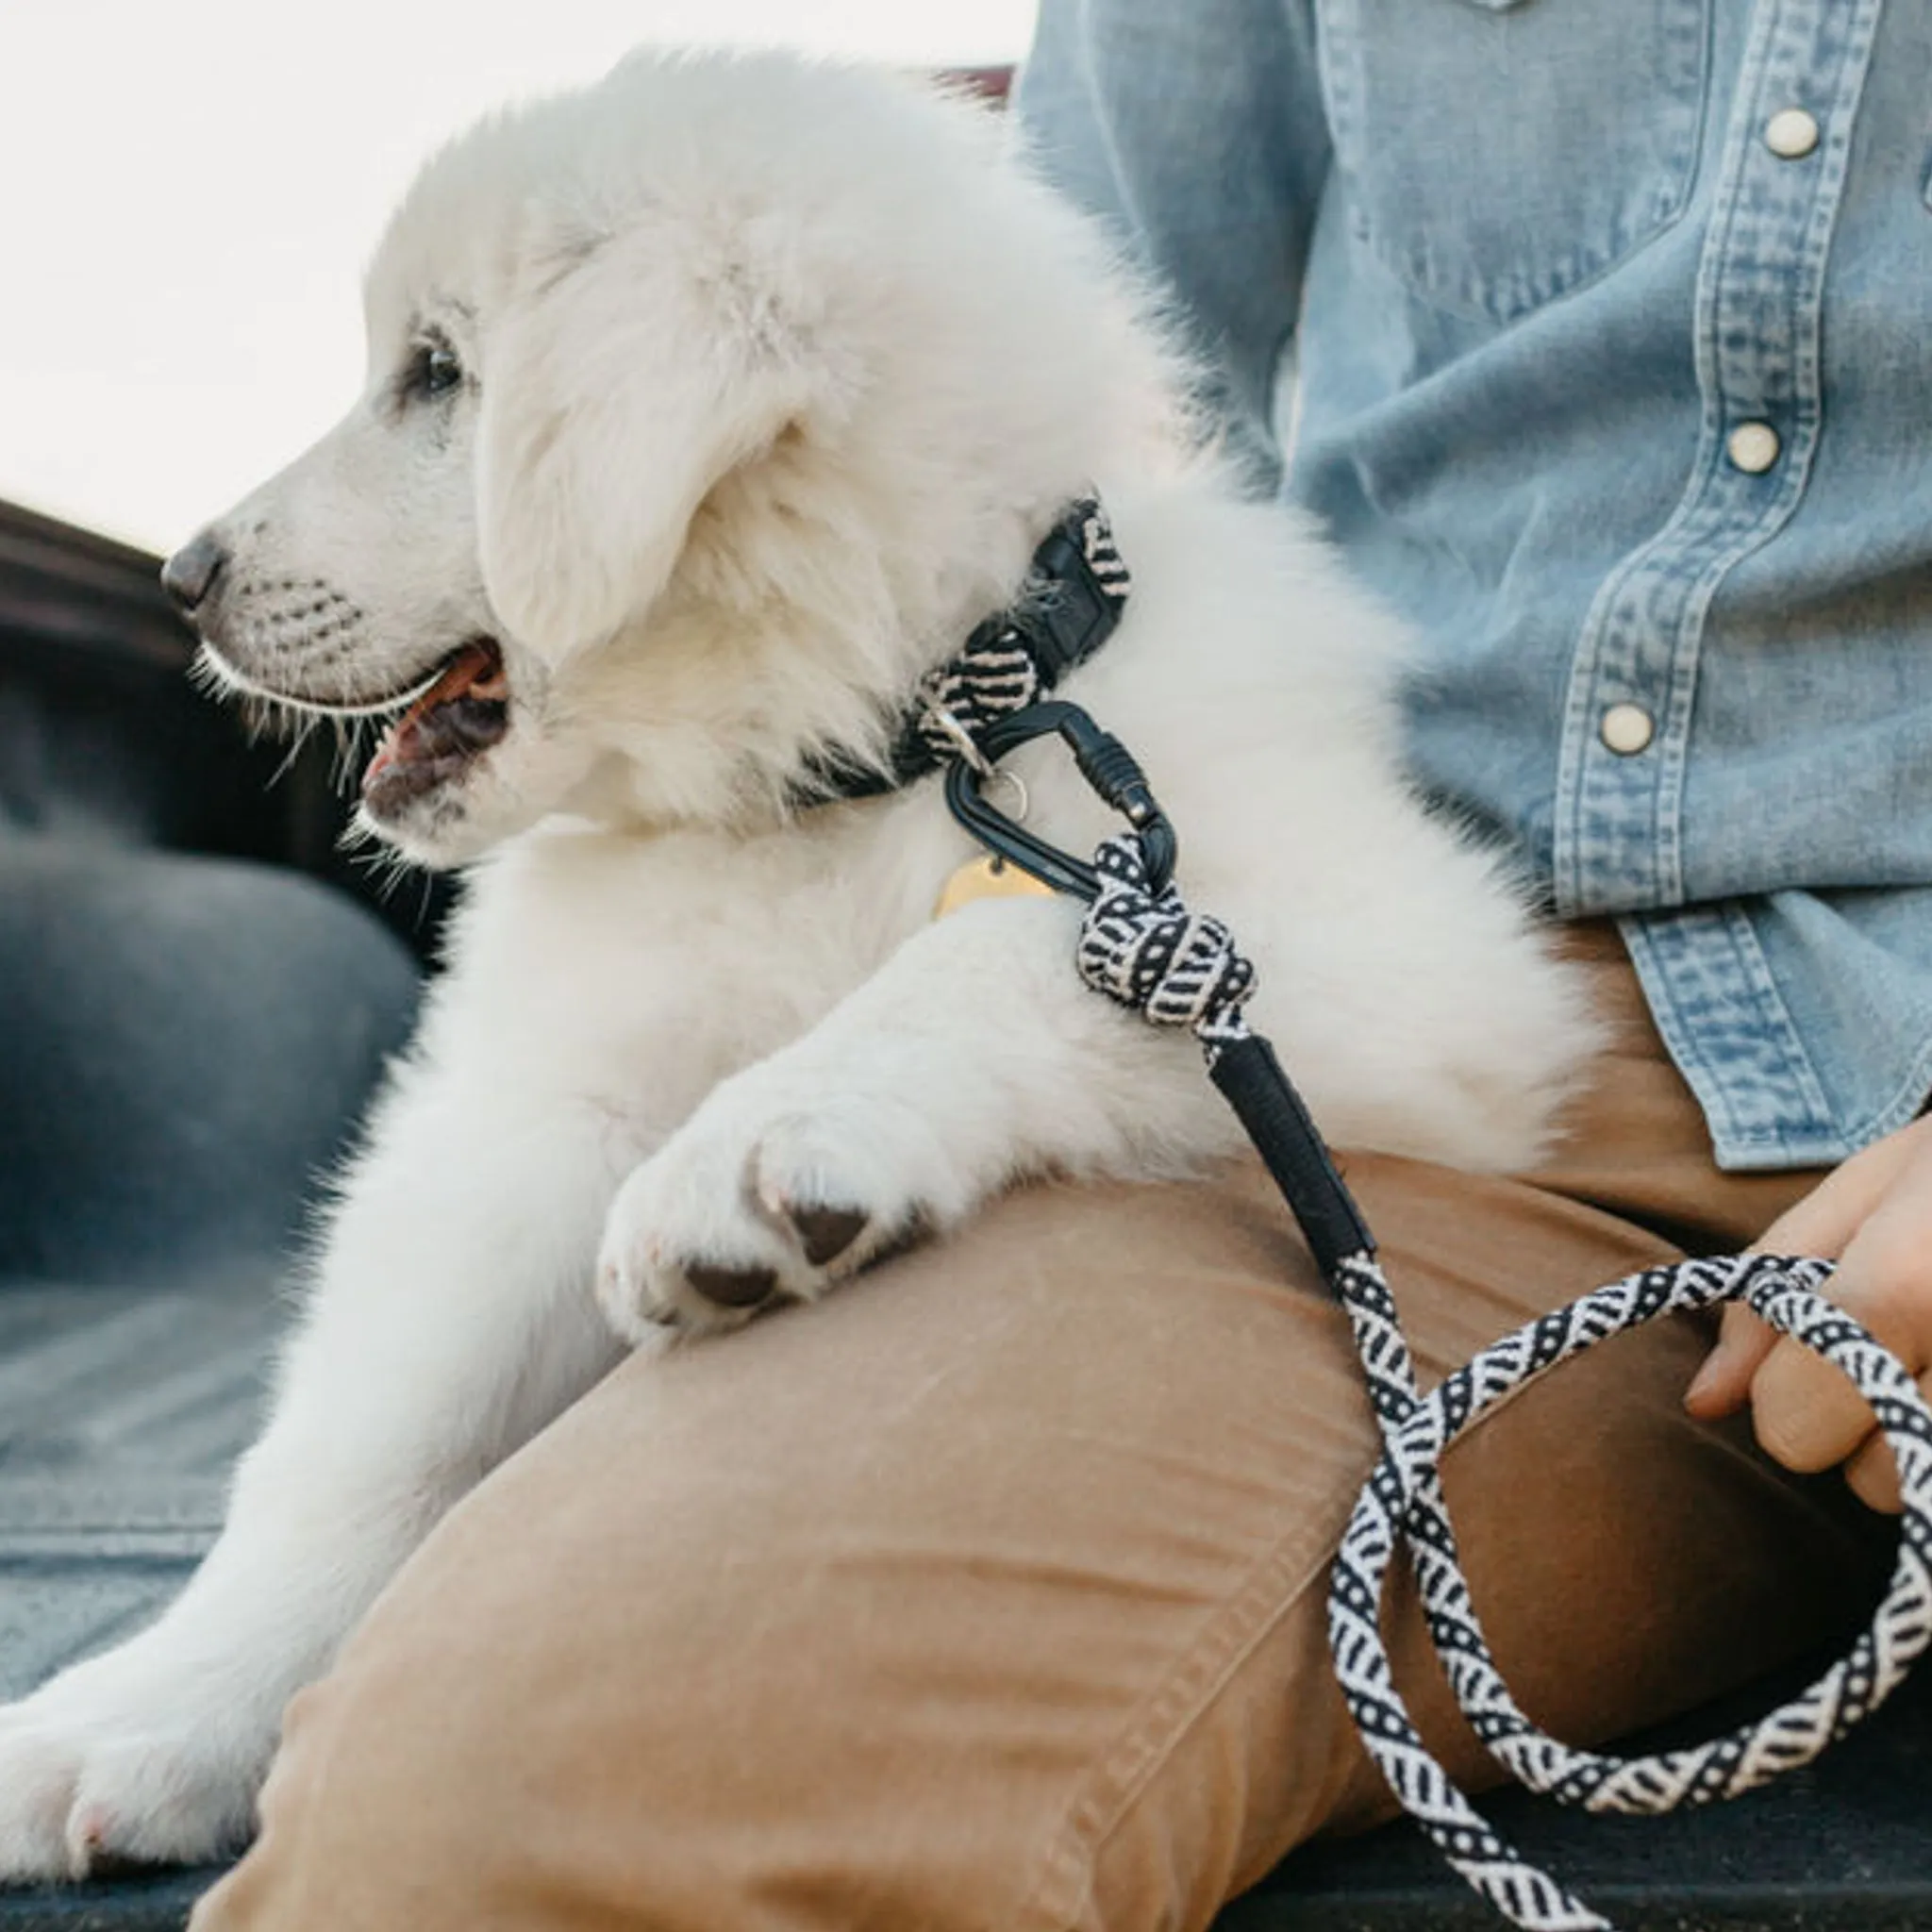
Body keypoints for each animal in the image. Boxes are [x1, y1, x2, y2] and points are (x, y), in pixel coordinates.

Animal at [0, 53, 1599, 1877]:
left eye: (438, 375)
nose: (182, 577)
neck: (868, 756)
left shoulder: (1416, 950)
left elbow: (1027, 940)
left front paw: (767, 1142)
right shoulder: (529, 1111)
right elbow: (372, 1434)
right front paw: (146, 1710)